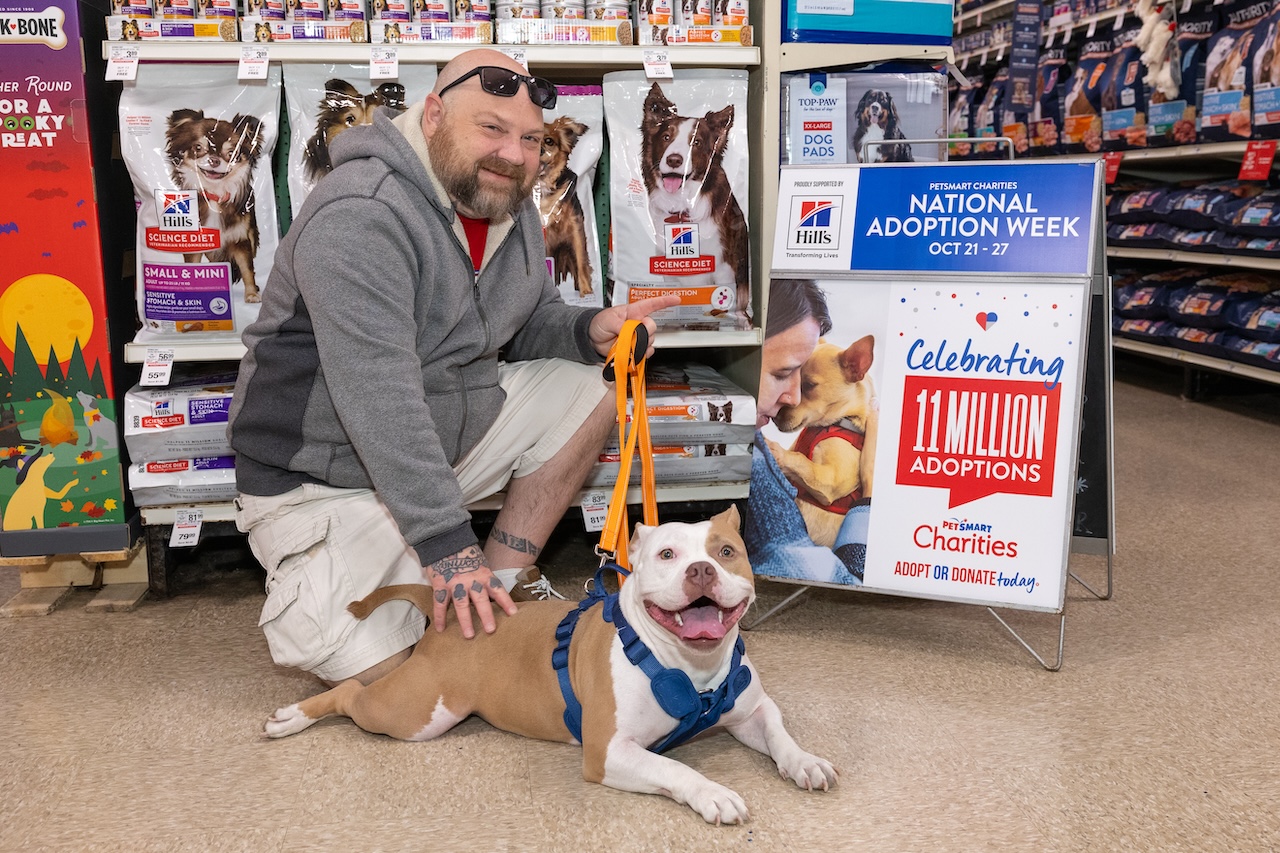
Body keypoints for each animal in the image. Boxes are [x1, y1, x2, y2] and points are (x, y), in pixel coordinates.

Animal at [264, 504, 834, 824]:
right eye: (668, 555)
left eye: (727, 551)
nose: (700, 570)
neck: (690, 668)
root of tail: (444, 610)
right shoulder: (609, 752)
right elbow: (674, 766)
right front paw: (712, 793)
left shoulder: (751, 711)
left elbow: (779, 732)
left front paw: (804, 761)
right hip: (416, 714)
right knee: (350, 694)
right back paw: (291, 717)